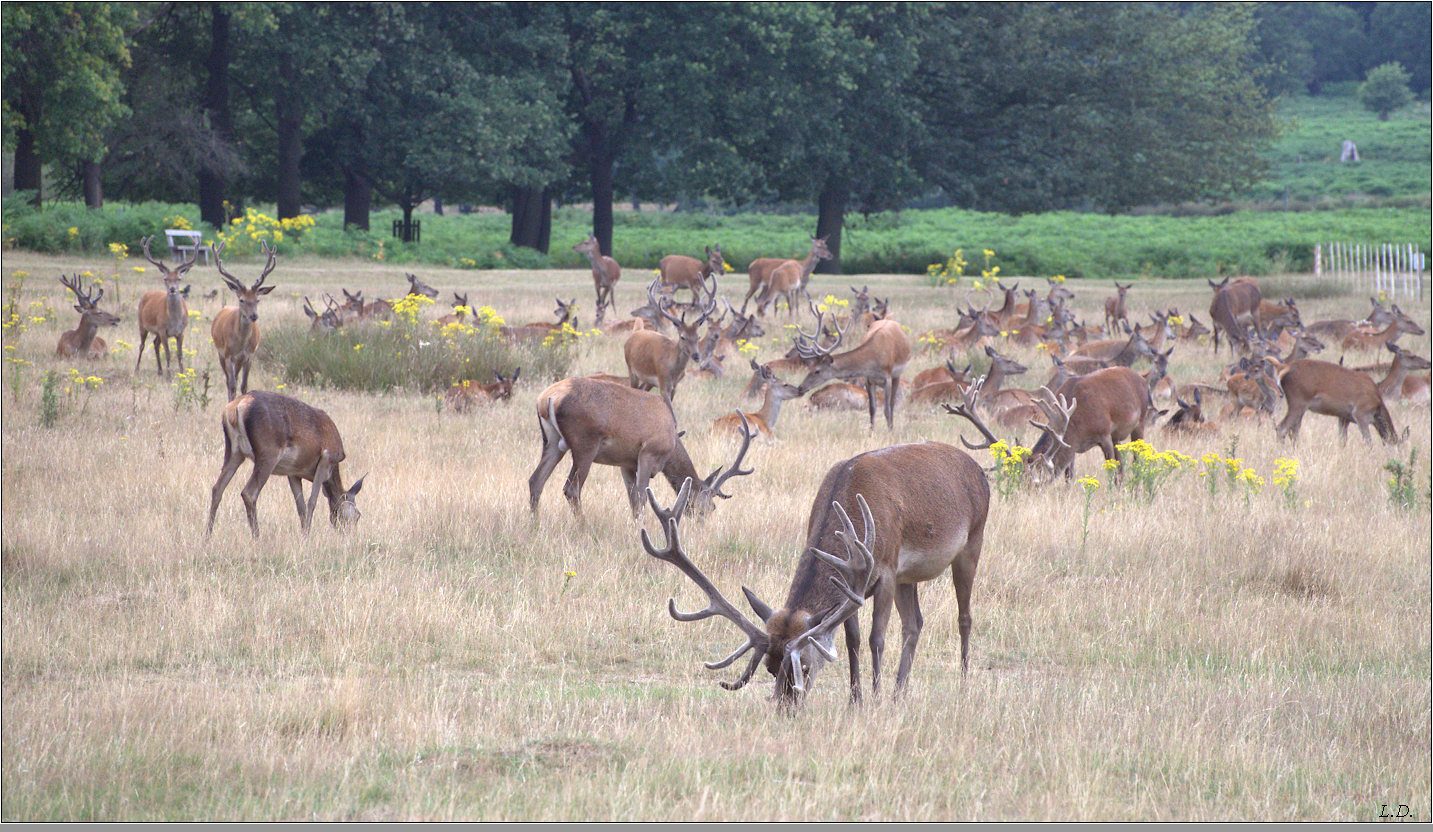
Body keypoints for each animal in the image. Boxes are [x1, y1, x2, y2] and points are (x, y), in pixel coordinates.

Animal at [134, 233, 197, 375]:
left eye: (179, 278)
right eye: (165, 279)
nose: (172, 289)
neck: (174, 320)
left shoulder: (181, 331)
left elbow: (179, 354)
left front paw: (182, 373)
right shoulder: (163, 329)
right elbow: (168, 354)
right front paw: (169, 376)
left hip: (156, 331)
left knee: (155, 343)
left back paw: (159, 370)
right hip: (142, 323)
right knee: (142, 345)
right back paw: (137, 369)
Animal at [206, 392, 363, 538]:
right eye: (358, 515)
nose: (350, 535)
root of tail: (235, 408)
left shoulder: (293, 472)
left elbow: (301, 506)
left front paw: (304, 533)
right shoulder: (326, 459)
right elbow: (312, 501)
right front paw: (307, 536)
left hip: (234, 452)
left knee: (217, 488)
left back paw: (208, 536)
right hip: (268, 454)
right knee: (249, 492)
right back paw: (257, 537)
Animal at [209, 239, 276, 400]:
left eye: (258, 299)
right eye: (241, 299)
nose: (254, 316)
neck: (241, 343)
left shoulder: (249, 355)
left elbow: (244, 385)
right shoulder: (228, 355)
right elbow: (232, 385)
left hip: (238, 360)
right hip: (220, 353)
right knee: (228, 381)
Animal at [644, 383, 991, 701]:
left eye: (804, 667)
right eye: (770, 667)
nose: (785, 708)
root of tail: (978, 469)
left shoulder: (886, 569)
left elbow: (876, 638)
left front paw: (875, 697)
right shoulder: (855, 584)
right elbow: (852, 640)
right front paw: (856, 699)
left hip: (972, 540)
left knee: (964, 617)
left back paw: (961, 685)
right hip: (910, 577)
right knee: (914, 624)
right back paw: (899, 693)